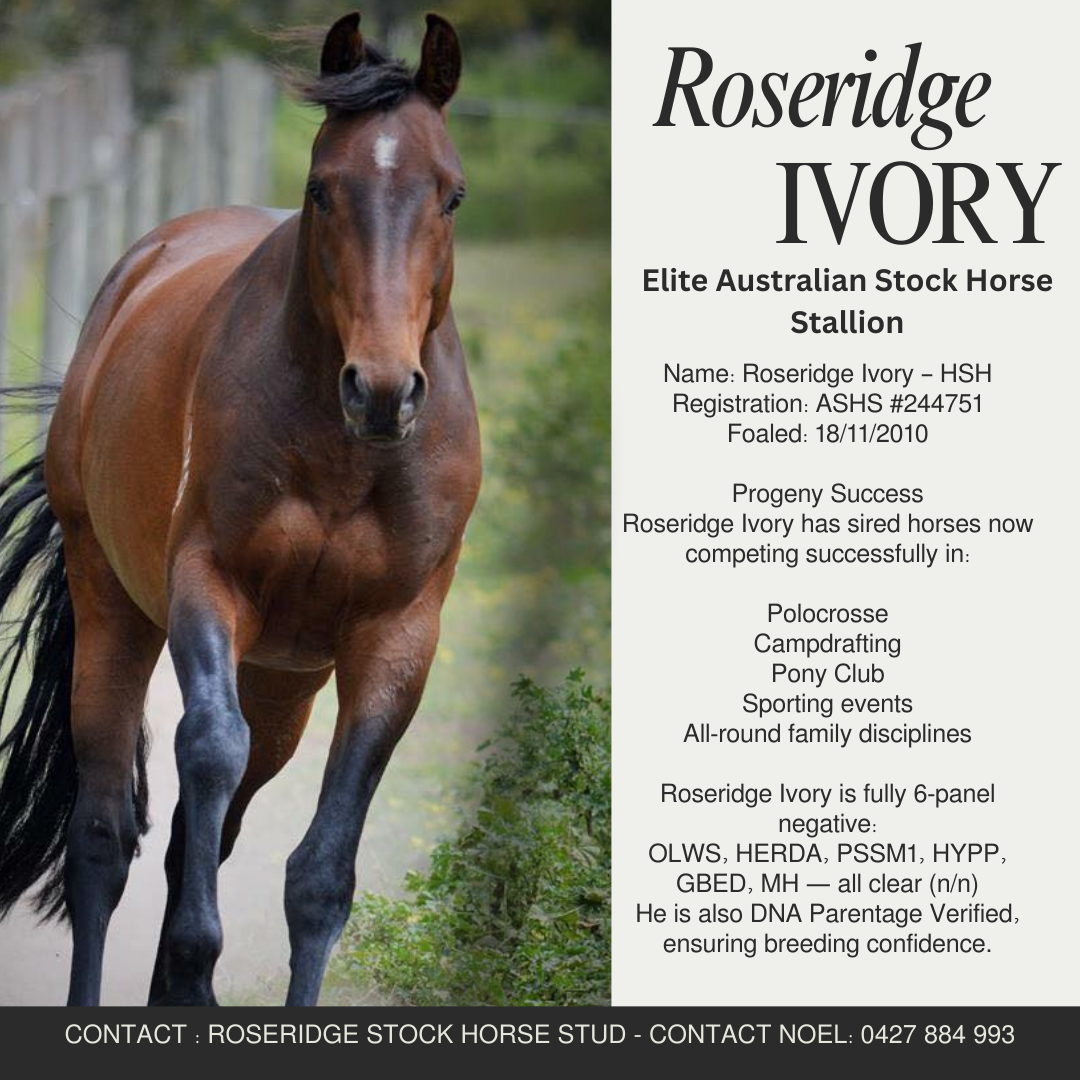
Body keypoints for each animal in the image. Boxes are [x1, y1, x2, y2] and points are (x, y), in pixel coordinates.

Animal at [0, 10, 480, 1006]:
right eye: (322, 190)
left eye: (451, 196)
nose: (383, 390)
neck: (346, 454)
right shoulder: (207, 586)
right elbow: (206, 749)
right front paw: (192, 960)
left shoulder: (397, 636)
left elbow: (320, 875)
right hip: (116, 613)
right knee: (102, 838)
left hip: (284, 679)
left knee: (201, 835)